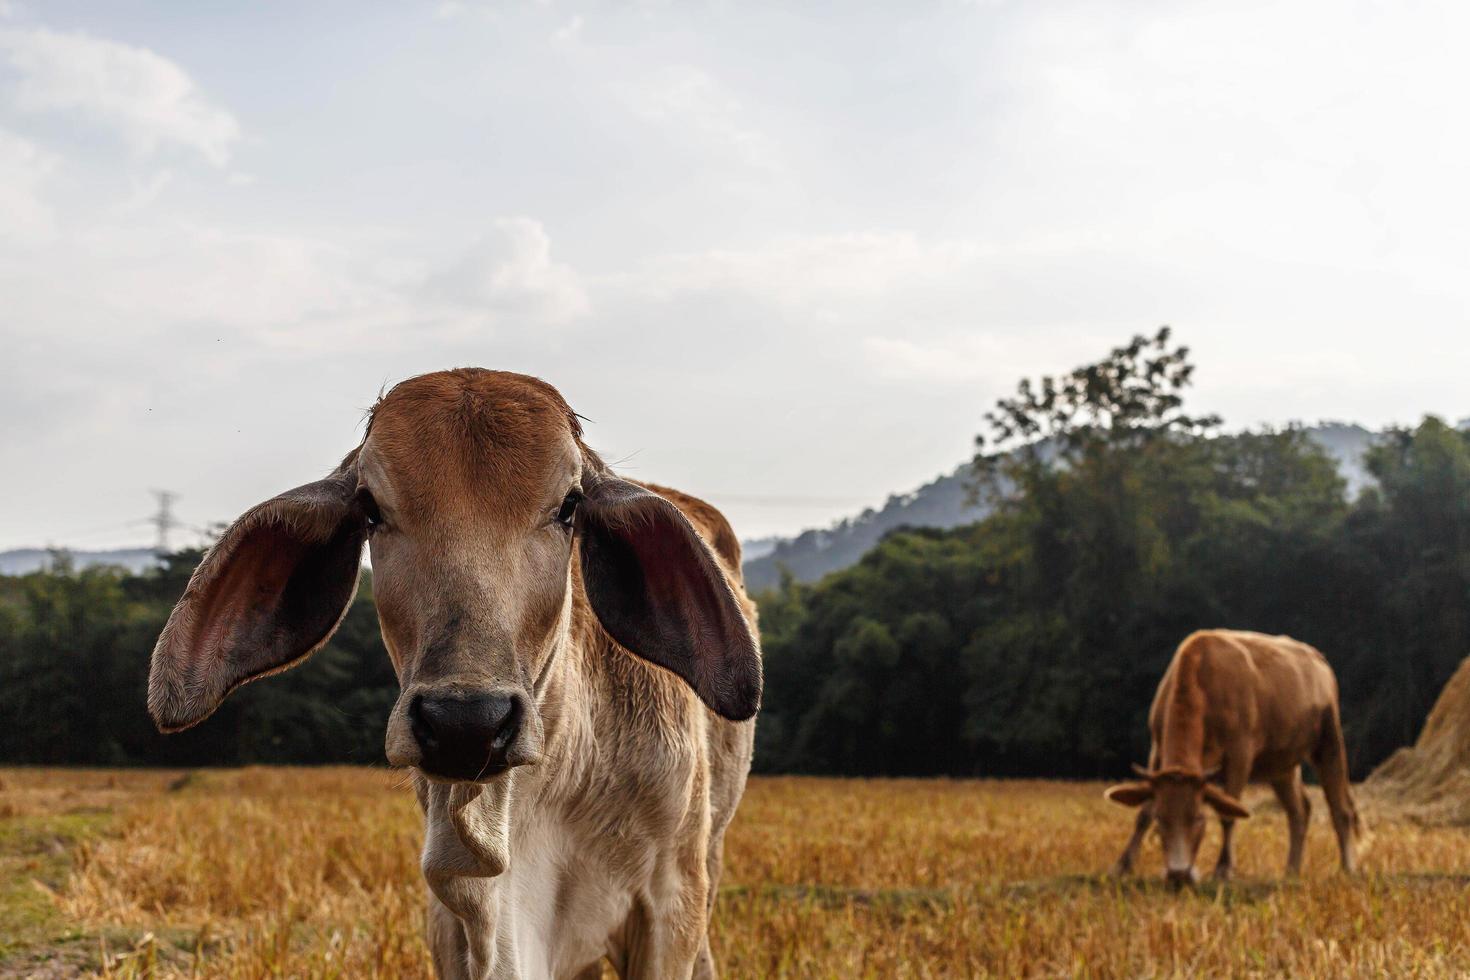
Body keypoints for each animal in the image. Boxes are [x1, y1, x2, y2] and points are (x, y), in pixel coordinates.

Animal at [1105, 628, 1358, 887]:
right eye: (1161, 819)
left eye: (1199, 818)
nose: (1179, 874)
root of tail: (1318, 658)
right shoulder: (1156, 750)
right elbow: (1142, 814)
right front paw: (1122, 866)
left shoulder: (1240, 753)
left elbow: (1228, 813)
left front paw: (1224, 868)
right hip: (1281, 765)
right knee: (1299, 810)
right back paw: (1291, 870)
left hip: (1329, 739)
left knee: (1341, 809)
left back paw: (1347, 868)